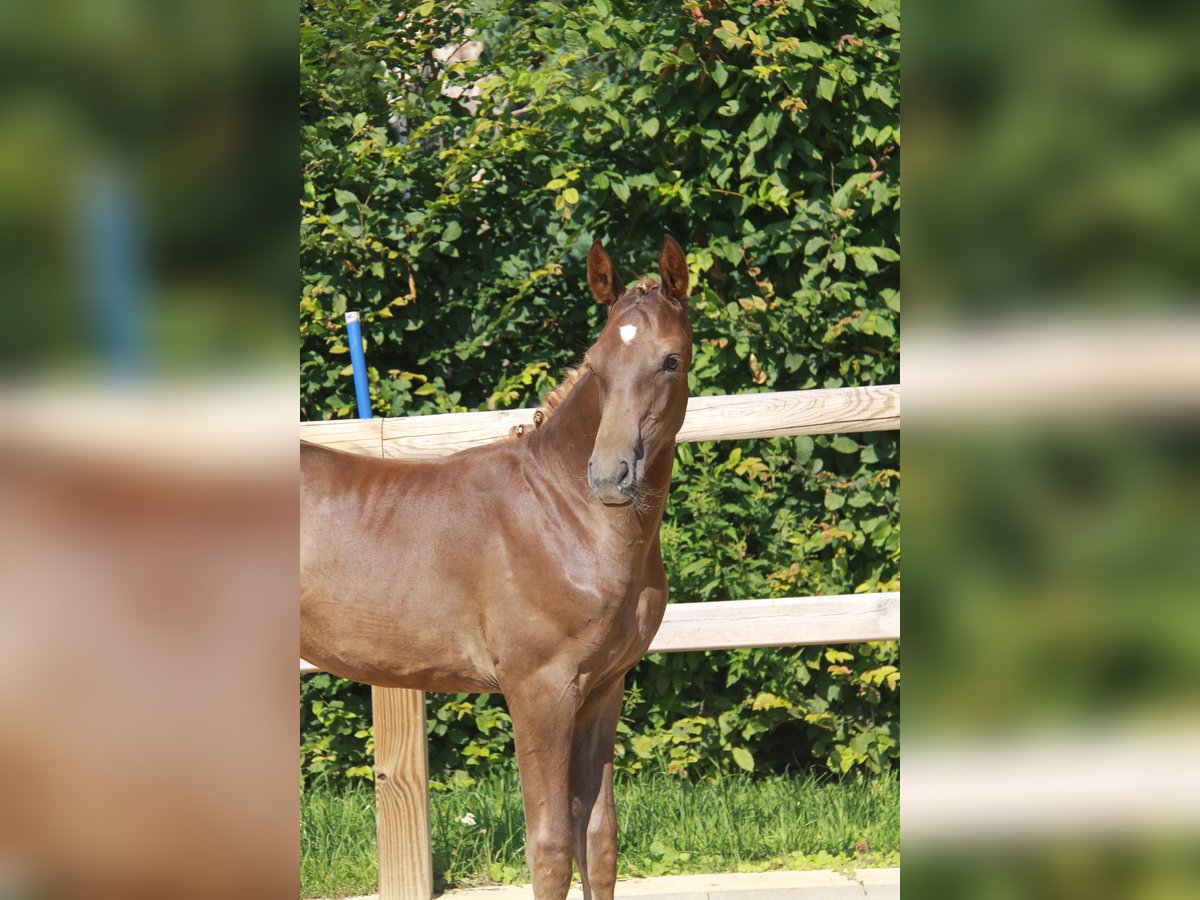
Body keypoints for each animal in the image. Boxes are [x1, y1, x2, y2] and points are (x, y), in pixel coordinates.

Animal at [300, 236, 696, 897]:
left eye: (670, 361)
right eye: (596, 364)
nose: (610, 476)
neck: (565, 515)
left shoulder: (602, 690)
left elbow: (599, 842)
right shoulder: (539, 690)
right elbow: (551, 848)